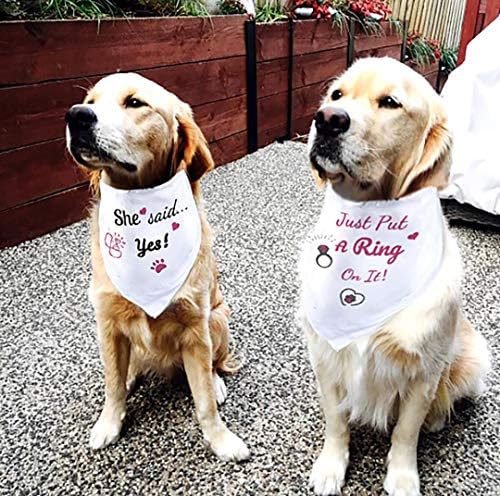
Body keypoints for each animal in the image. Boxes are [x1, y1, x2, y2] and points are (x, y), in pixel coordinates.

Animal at [65, 72, 250, 462]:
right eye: (90, 100)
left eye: (135, 103)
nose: (76, 116)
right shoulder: (107, 322)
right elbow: (113, 386)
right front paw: (110, 423)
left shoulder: (195, 328)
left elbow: (204, 402)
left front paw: (221, 439)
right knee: (124, 369)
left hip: (217, 318)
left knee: (214, 363)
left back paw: (216, 381)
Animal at [298, 57, 490, 492]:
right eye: (337, 94)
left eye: (390, 102)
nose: (328, 119)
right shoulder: (325, 357)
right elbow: (336, 421)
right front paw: (331, 466)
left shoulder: (423, 372)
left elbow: (406, 431)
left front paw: (402, 477)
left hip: (476, 356)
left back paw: (437, 420)